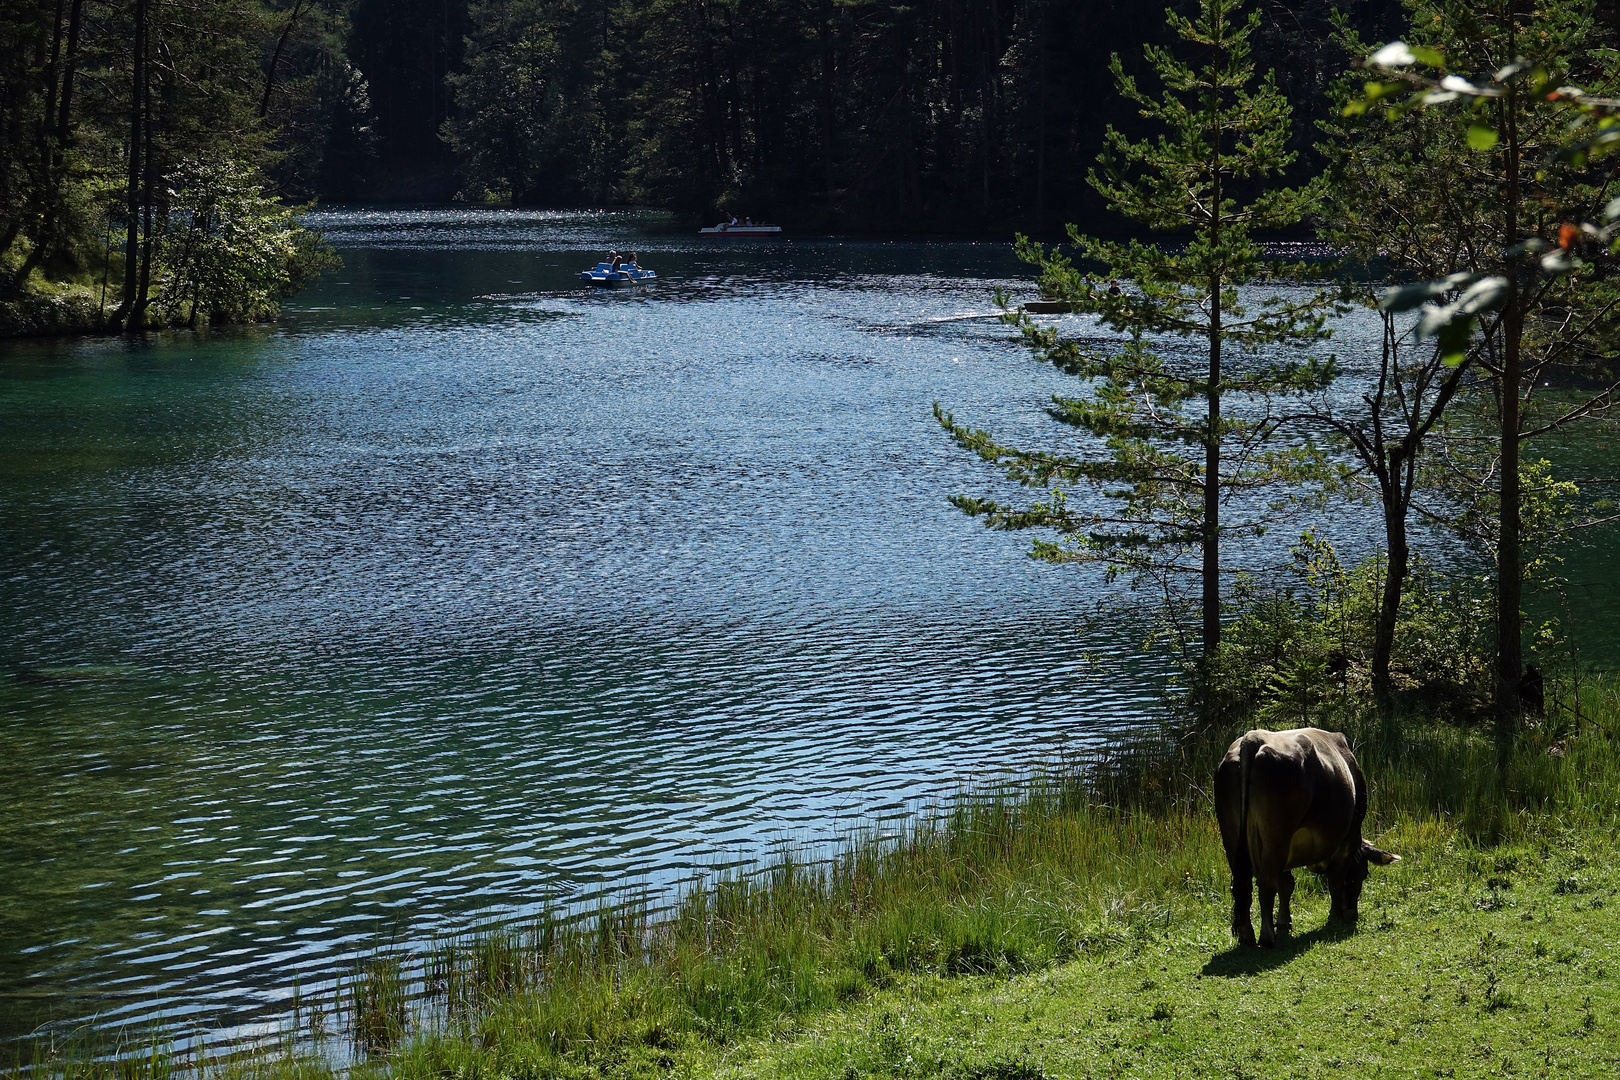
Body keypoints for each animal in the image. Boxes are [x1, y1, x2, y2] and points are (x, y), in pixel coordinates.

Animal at [1211, 725, 1399, 945]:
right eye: (1363, 873)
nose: (1352, 914)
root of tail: (1253, 738)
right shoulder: (1350, 835)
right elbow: (1336, 879)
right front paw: (1334, 916)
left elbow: (1287, 884)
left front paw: (1284, 921)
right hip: (1277, 836)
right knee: (1266, 883)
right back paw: (1267, 937)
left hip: (1233, 836)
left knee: (1243, 885)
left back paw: (1247, 935)